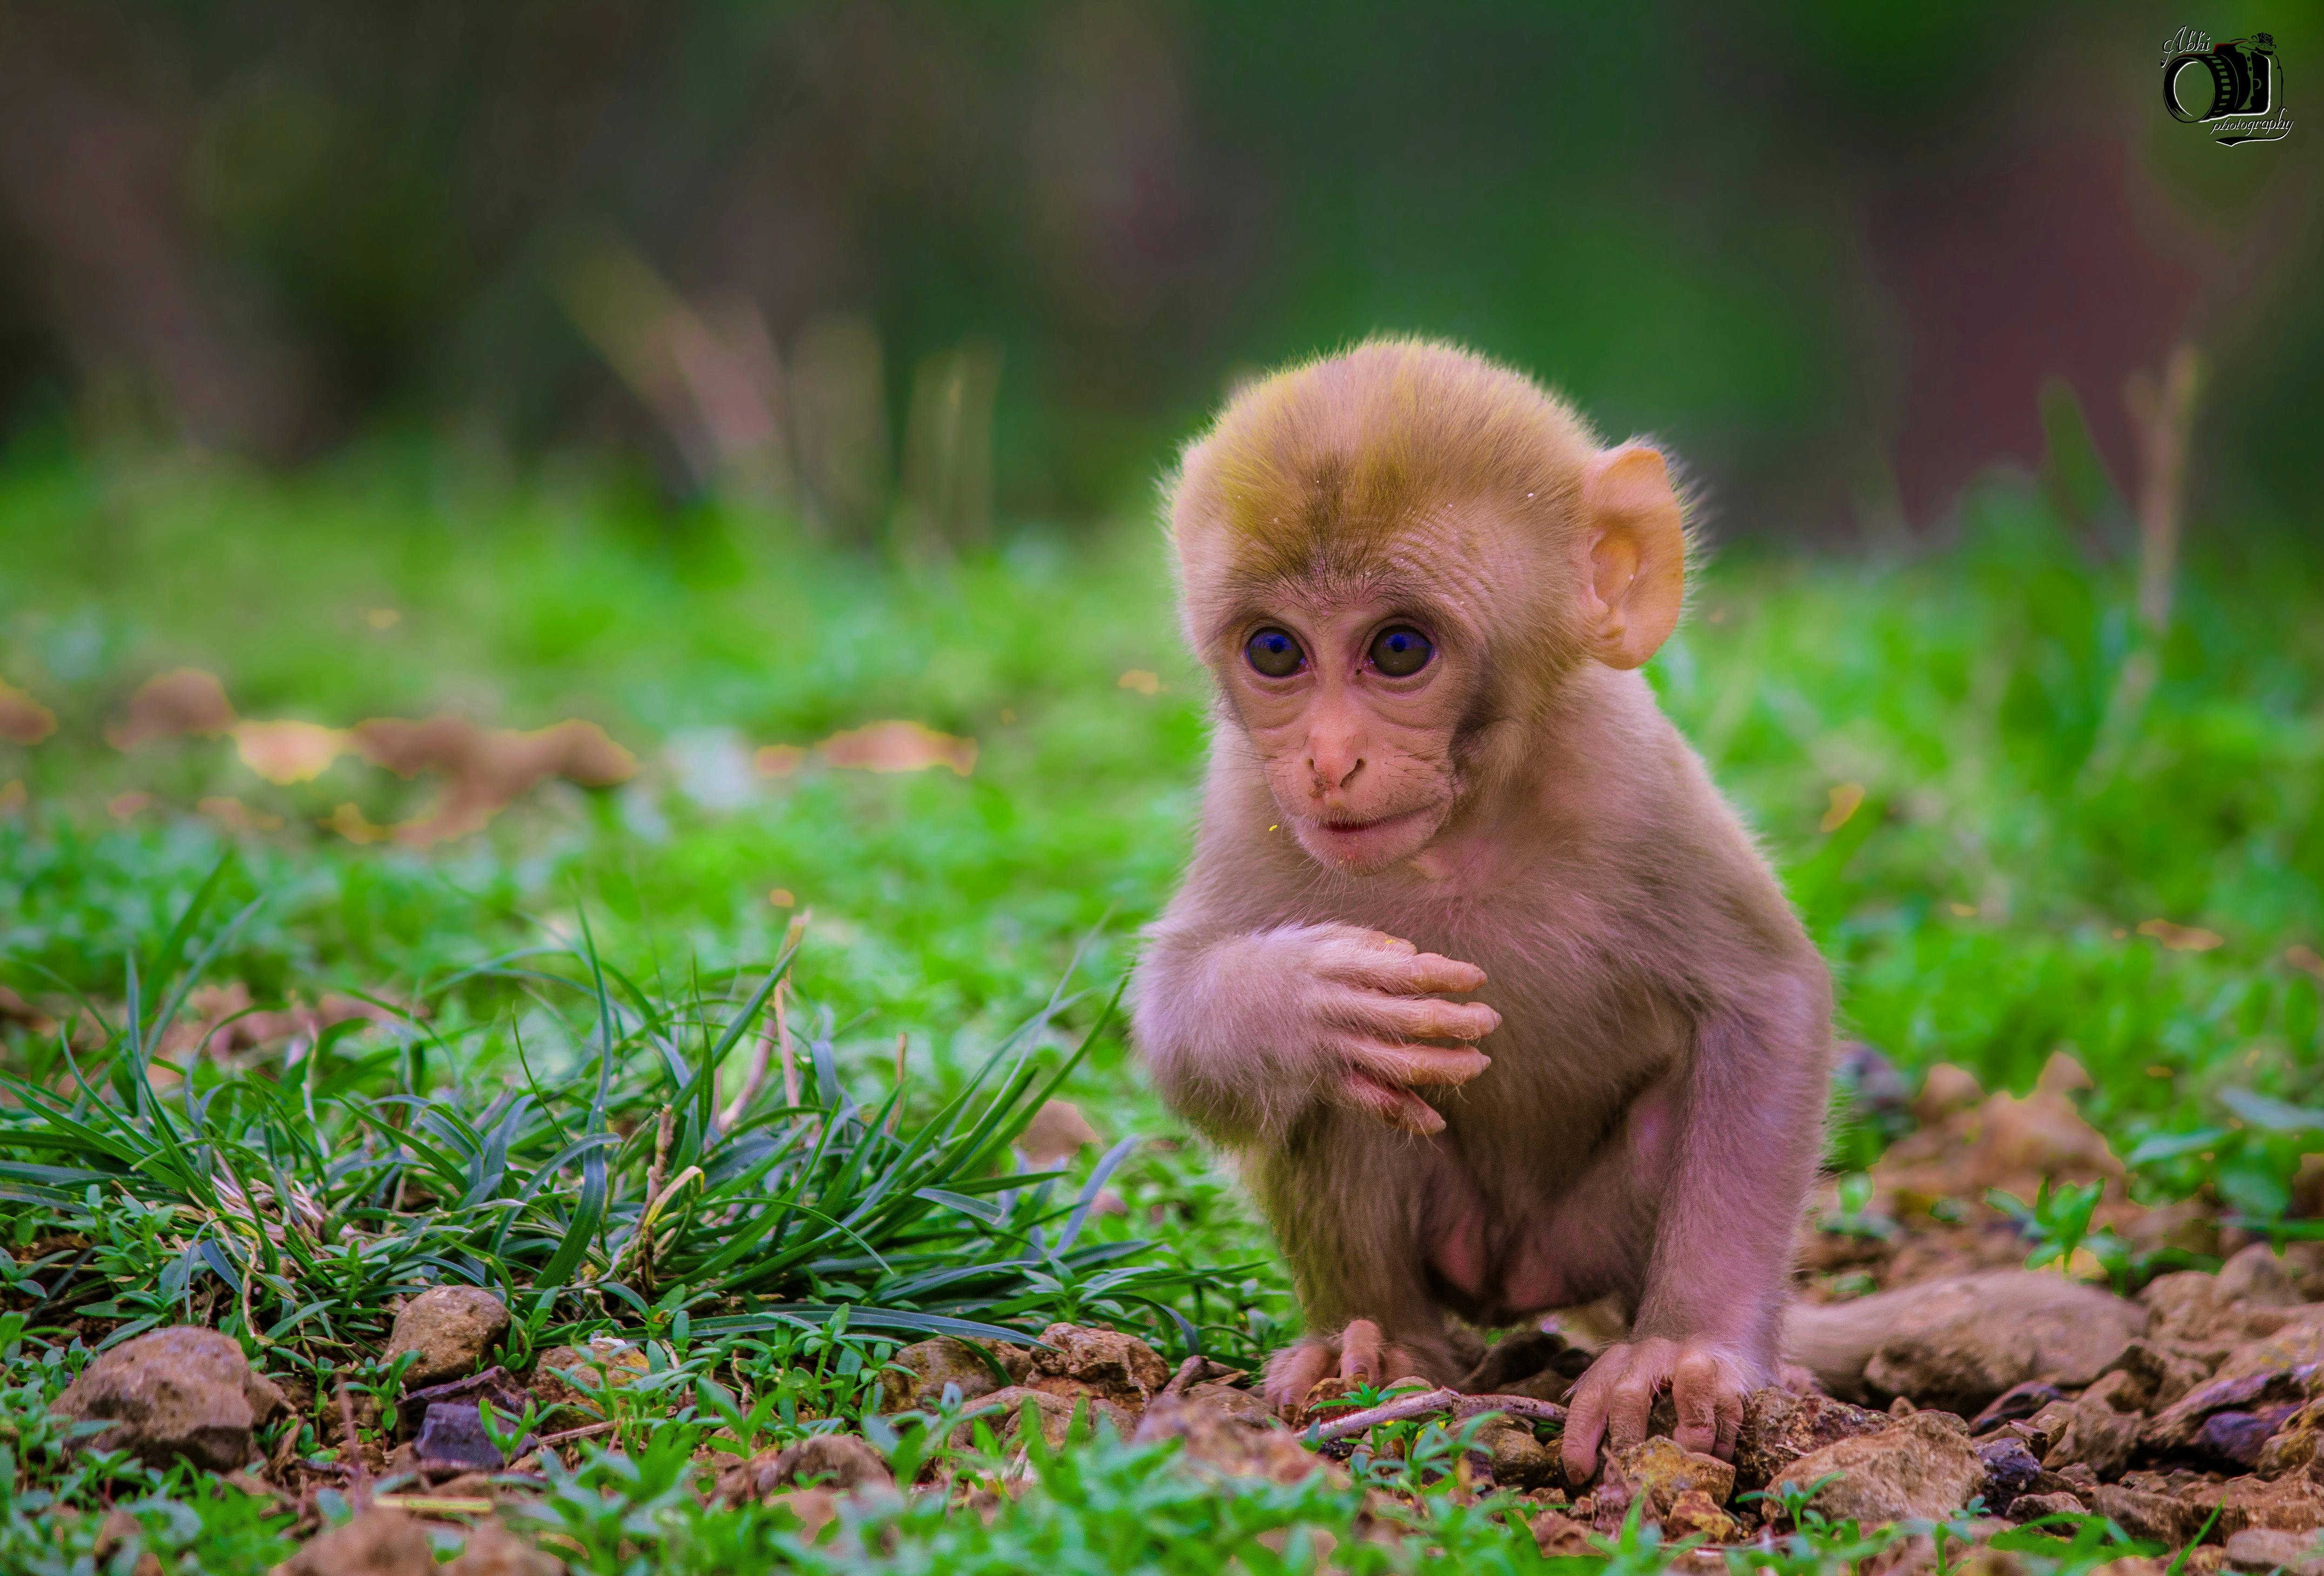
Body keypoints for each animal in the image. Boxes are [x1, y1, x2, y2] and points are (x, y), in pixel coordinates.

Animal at [1129, 339, 1831, 1488]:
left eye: (1398, 649)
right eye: (1274, 651)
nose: (1327, 761)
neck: (1461, 825)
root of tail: (1514, 1279)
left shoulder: (1628, 768)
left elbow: (1766, 1001)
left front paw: (1684, 1349)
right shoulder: (1248, 792)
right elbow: (1179, 1021)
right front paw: (1303, 1003)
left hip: (1584, 1235)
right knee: (1343, 1093)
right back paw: (1378, 1346)